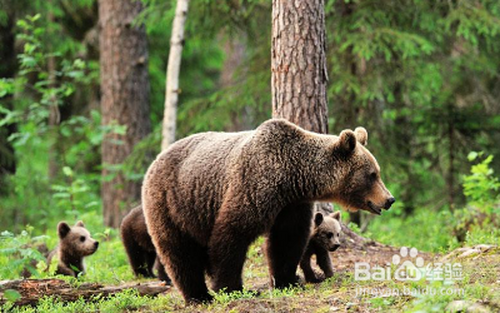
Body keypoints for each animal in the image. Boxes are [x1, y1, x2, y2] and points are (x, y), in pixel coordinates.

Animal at [142, 118, 394, 302]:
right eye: (372, 174)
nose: (389, 199)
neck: (292, 177)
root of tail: (154, 161)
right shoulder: (253, 185)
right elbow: (232, 234)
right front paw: (233, 288)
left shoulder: (292, 205)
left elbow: (287, 239)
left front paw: (287, 280)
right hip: (172, 203)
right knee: (180, 252)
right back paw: (199, 296)